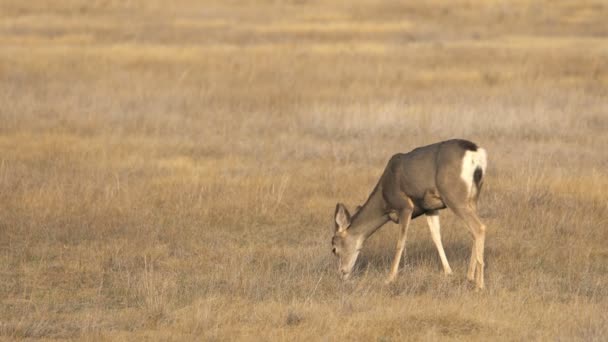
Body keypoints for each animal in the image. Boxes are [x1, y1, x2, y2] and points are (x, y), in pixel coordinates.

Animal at [330, 139, 486, 288]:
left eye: (334, 249)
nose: (341, 274)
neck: (384, 197)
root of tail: (476, 154)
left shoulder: (405, 206)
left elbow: (401, 242)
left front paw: (390, 278)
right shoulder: (430, 208)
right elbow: (436, 237)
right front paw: (448, 272)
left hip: (453, 196)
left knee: (479, 228)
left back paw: (479, 284)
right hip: (473, 197)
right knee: (473, 231)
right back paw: (470, 277)